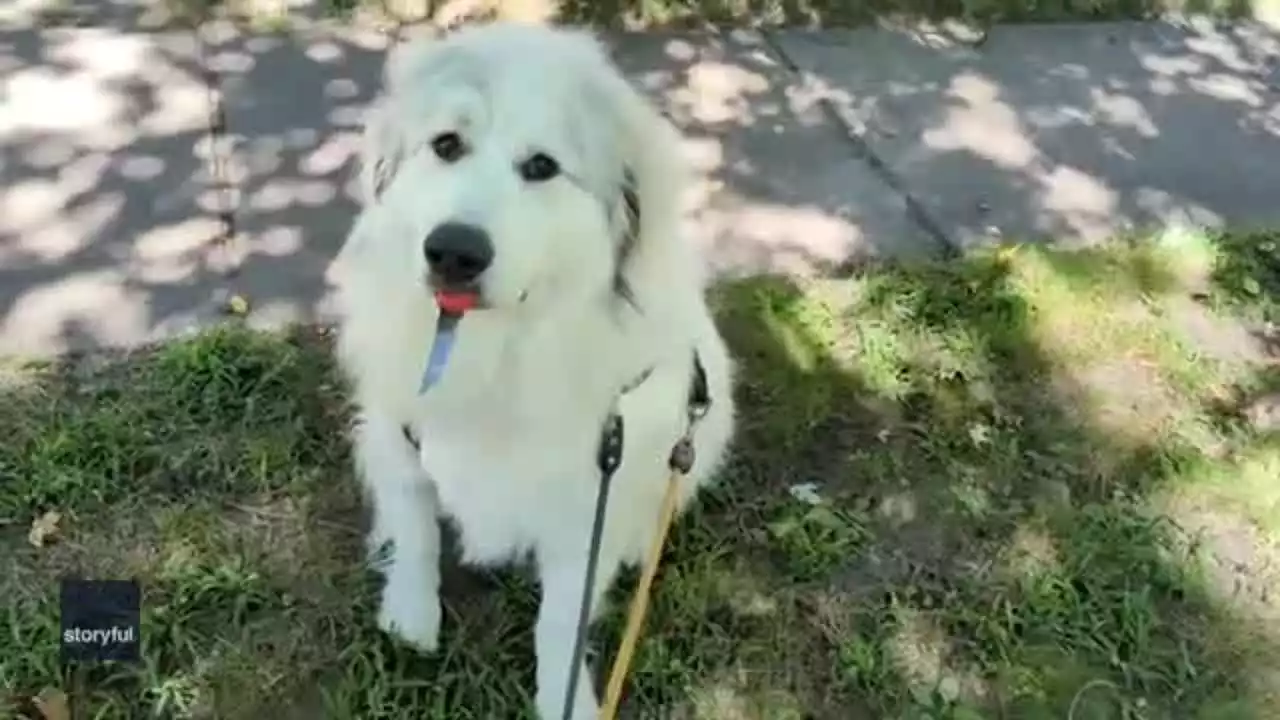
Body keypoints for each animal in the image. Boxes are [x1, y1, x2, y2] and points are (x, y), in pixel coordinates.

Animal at [330, 19, 737, 712]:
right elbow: (416, 528)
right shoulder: (396, 433)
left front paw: (565, 700)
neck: (494, 347)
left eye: (541, 167)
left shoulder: (589, 503)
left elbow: (560, 621)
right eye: (447, 145)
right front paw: (411, 617)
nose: (454, 252)